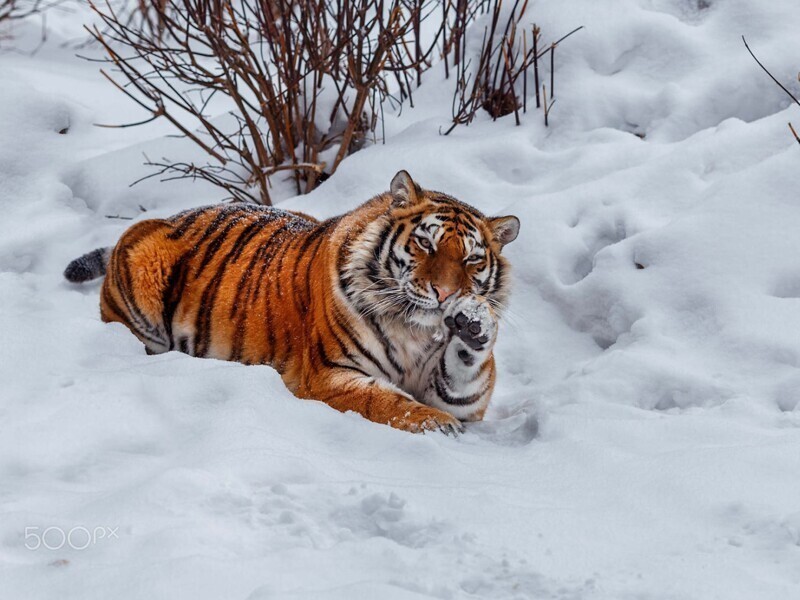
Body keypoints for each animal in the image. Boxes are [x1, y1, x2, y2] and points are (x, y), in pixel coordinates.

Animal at [65, 171, 520, 434]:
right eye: (426, 243)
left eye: (472, 259)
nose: (446, 294)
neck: (416, 330)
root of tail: (168, 216)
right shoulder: (327, 374)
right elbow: (386, 401)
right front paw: (437, 425)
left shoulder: (462, 395)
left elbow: (464, 376)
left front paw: (474, 323)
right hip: (144, 265)